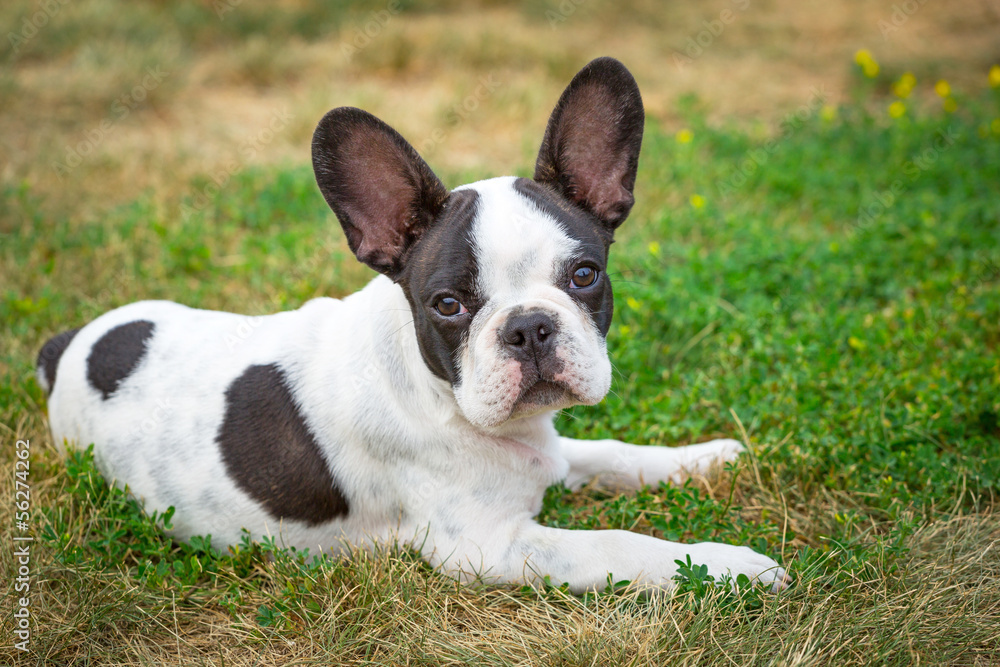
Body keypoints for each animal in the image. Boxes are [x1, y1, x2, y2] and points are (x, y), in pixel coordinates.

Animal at [37, 56, 788, 588]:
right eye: (448, 305)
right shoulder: (491, 546)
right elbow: (621, 546)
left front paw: (703, 457)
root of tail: (68, 348)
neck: (445, 397)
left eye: (583, 276)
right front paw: (729, 566)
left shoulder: (551, 449)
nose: (529, 327)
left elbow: (613, 453)